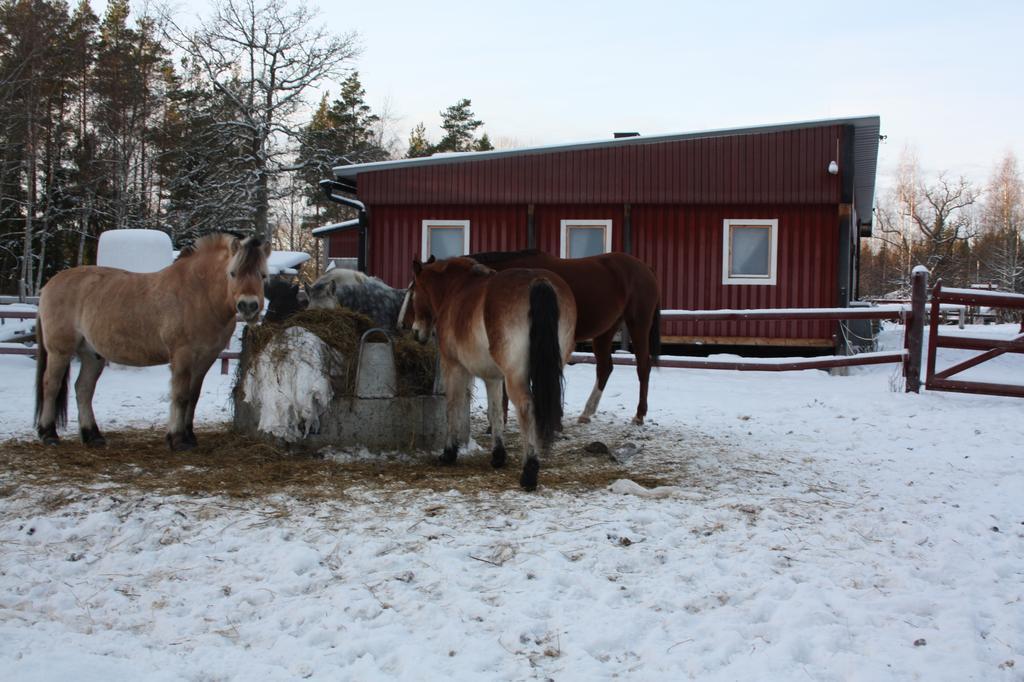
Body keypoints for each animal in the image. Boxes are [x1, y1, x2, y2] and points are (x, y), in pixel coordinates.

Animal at [35, 231, 270, 448]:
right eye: (233, 273)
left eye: (263, 276)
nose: (248, 306)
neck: (198, 294)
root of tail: (48, 285)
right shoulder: (182, 355)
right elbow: (180, 395)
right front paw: (177, 439)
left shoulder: (206, 358)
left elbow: (193, 396)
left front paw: (190, 436)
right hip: (60, 351)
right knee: (51, 385)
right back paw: (49, 434)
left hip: (92, 355)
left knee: (83, 389)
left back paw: (92, 436)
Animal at [411, 256, 581, 489]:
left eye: (414, 291)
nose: (416, 332)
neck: (455, 288)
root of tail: (539, 281)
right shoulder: (493, 377)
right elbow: (496, 411)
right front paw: (498, 455)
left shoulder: (454, 367)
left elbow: (453, 407)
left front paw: (449, 453)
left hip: (515, 376)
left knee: (527, 408)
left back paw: (530, 471)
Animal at [468, 246, 659, 421]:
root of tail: (645, 268)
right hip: (606, 330)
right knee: (605, 367)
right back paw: (587, 412)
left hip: (638, 324)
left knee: (643, 366)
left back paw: (639, 415)